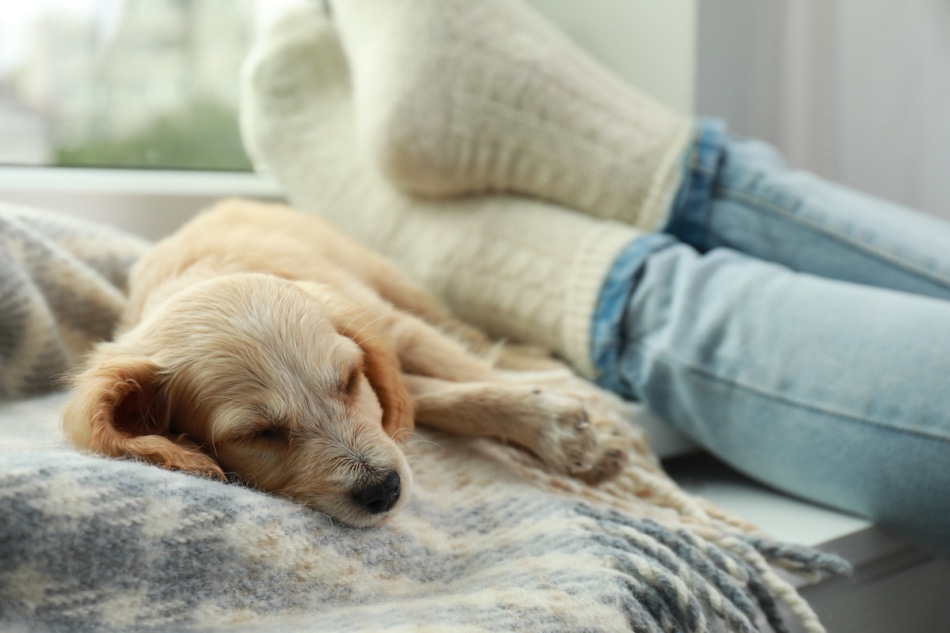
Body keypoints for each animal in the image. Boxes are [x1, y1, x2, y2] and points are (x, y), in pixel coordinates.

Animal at [67, 200, 632, 524]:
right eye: (257, 434)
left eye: (348, 381)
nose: (385, 491)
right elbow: (431, 398)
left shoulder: (390, 328)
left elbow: (466, 374)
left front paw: (572, 431)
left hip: (398, 286)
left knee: (470, 337)